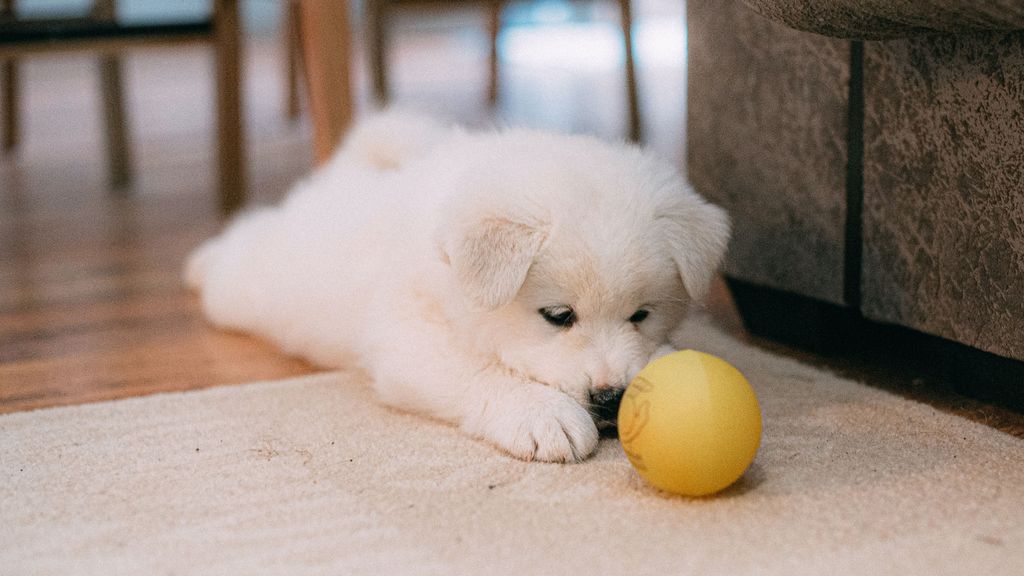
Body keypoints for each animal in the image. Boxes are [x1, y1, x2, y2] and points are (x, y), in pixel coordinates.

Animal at [184, 113, 729, 461]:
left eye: (641, 315)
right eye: (558, 316)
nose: (612, 397)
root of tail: (340, 176)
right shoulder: (409, 339)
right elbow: (477, 371)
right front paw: (544, 415)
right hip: (252, 285)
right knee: (239, 243)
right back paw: (200, 262)